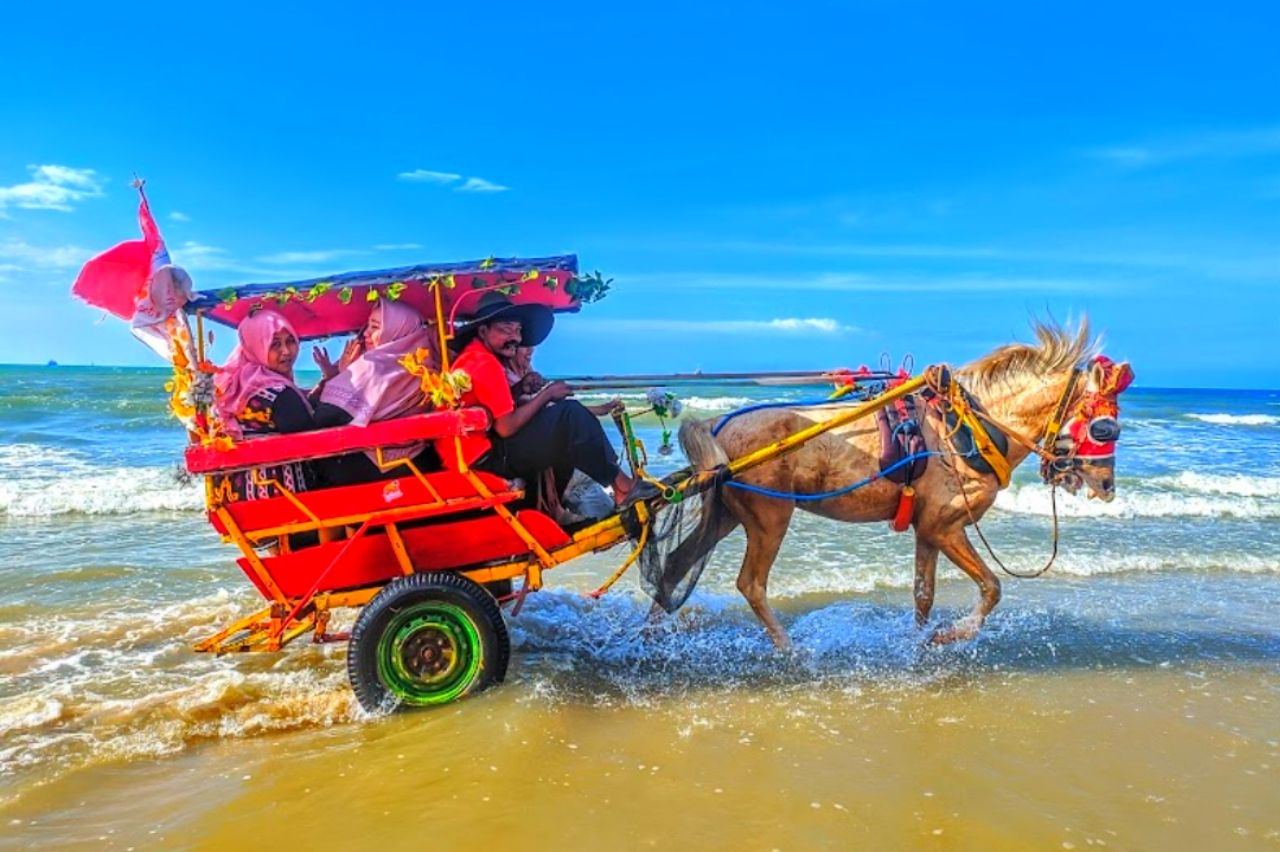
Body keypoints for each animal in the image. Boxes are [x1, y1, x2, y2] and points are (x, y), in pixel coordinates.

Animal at [675, 322, 1136, 647]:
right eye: (1105, 428)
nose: (1108, 486)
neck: (970, 427)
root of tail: (719, 422)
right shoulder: (944, 526)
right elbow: (992, 588)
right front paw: (949, 636)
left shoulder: (927, 530)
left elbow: (923, 594)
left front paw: (916, 643)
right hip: (770, 518)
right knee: (750, 584)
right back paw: (790, 648)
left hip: (729, 516)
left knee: (677, 570)